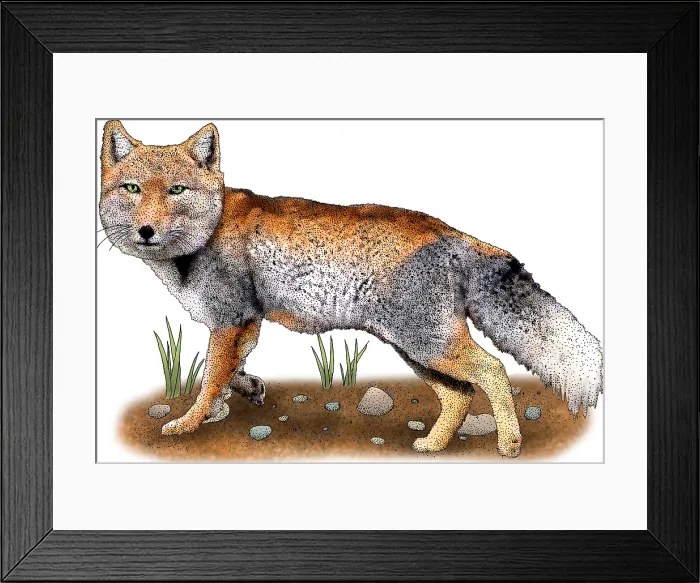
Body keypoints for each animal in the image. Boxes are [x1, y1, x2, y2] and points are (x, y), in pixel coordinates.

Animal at [99, 120, 603, 458]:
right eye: (132, 188)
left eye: (177, 191)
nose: (146, 230)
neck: (208, 230)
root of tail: (450, 231)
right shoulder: (246, 323)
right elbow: (229, 374)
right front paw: (237, 397)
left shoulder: (229, 320)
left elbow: (207, 380)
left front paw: (188, 423)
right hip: (416, 351)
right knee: (460, 395)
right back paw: (434, 445)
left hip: (429, 345)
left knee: (494, 371)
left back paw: (509, 443)